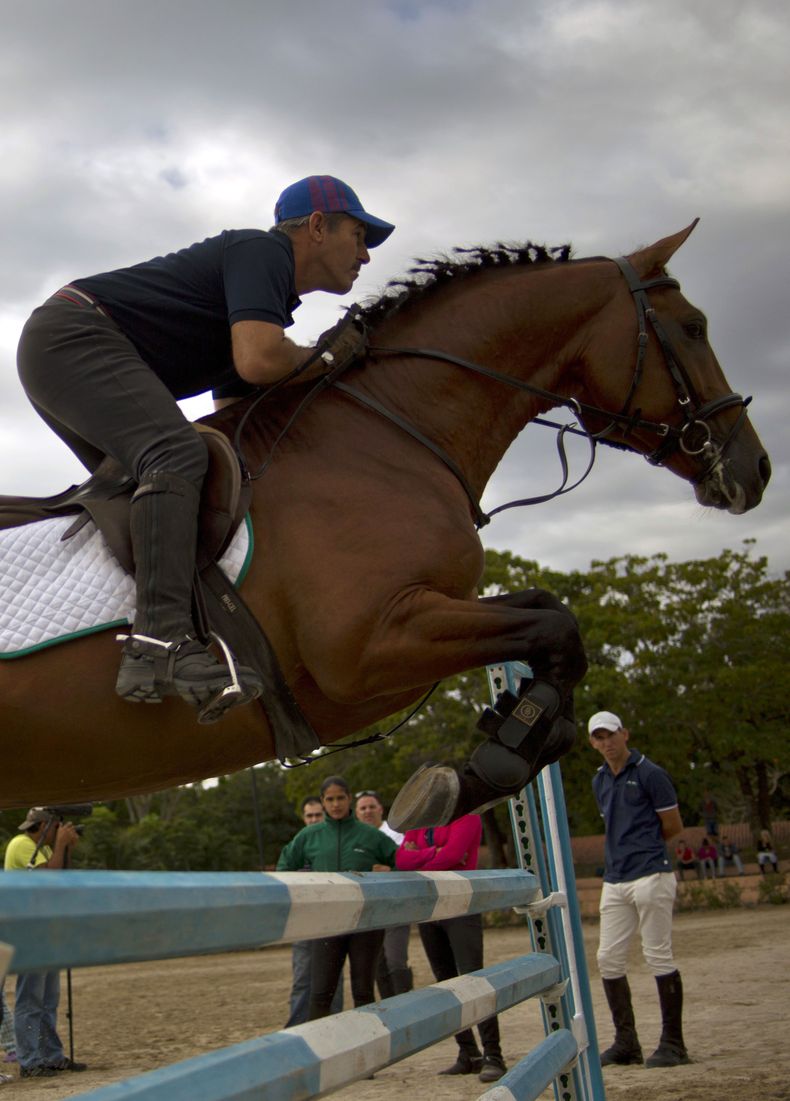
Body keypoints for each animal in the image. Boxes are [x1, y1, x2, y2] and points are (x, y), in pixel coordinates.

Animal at [0, 222, 770, 811]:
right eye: (695, 328)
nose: (755, 469)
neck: (389, 431)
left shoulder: (429, 609)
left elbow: (552, 620)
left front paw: (487, 759)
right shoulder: (371, 643)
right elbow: (556, 627)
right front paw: (485, 769)